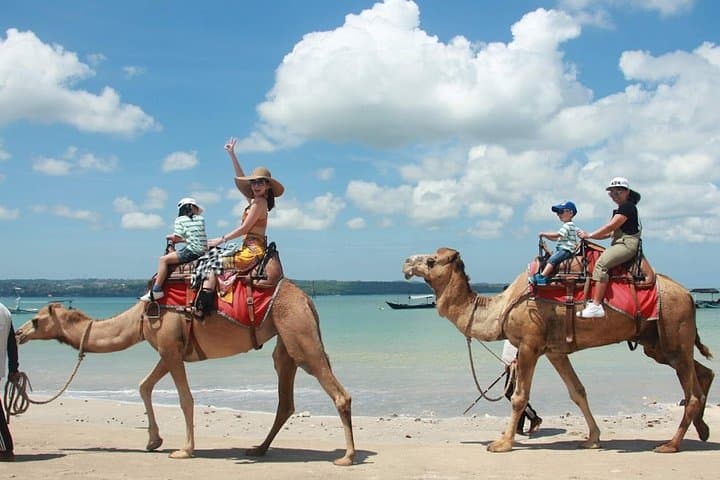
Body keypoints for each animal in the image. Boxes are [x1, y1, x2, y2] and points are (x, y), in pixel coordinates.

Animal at [15, 280, 356, 465]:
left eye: (36, 320)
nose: (17, 334)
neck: (138, 320)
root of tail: (308, 298)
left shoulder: (170, 348)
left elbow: (185, 399)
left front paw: (184, 449)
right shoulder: (169, 352)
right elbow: (144, 385)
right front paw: (153, 441)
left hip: (299, 331)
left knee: (337, 391)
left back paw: (347, 456)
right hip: (286, 341)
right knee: (285, 398)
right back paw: (258, 448)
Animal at [402, 247, 714, 453]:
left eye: (431, 260)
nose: (405, 263)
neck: (502, 306)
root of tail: (689, 295)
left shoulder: (529, 344)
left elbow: (519, 397)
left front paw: (502, 443)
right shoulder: (555, 351)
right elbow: (577, 391)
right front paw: (592, 438)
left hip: (673, 331)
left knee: (693, 392)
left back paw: (671, 444)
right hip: (657, 343)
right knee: (703, 372)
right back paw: (702, 429)